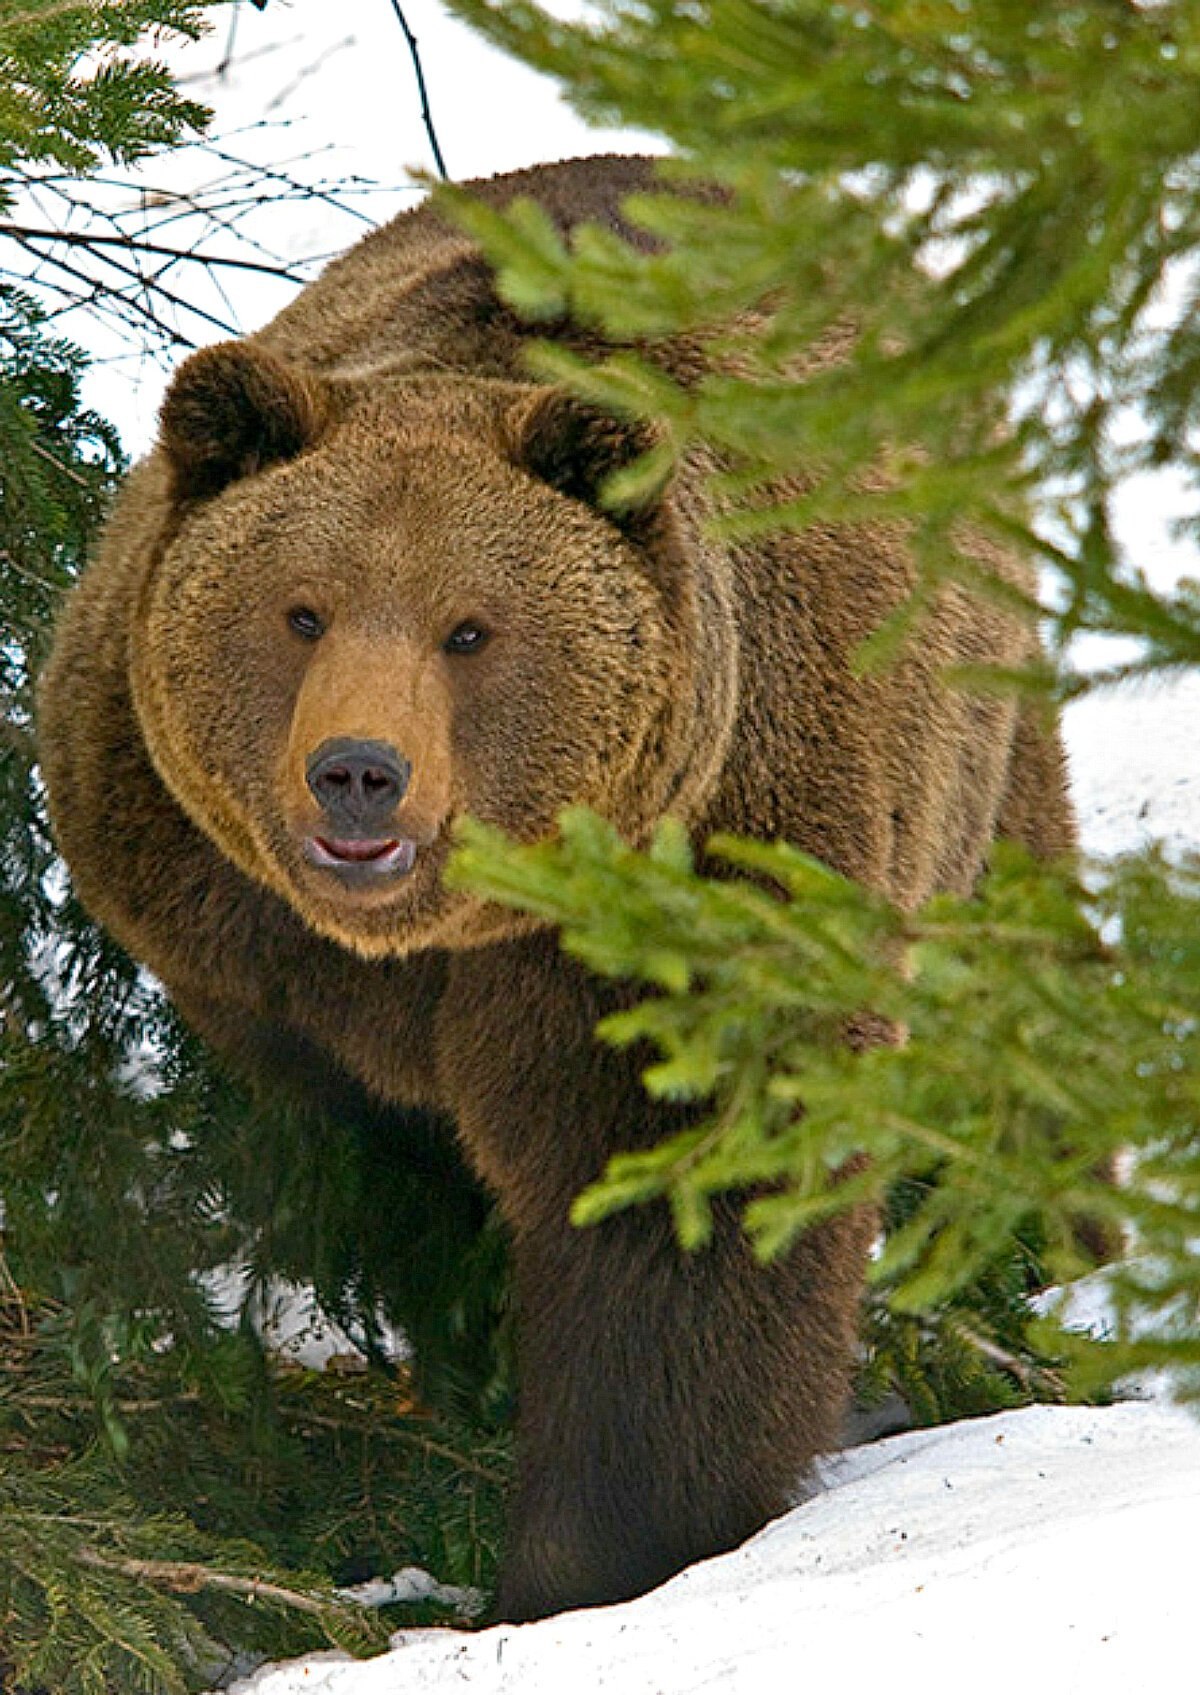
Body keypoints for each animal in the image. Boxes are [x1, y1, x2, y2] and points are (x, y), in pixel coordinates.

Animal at [37, 152, 1071, 1620]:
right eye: (301, 610)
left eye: (470, 630)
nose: (359, 774)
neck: (445, 936)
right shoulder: (244, 942)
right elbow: (398, 1171)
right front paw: (466, 1343)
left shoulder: (706, 882)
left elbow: (679, 1219)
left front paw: (602, 1548)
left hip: (979, 762)